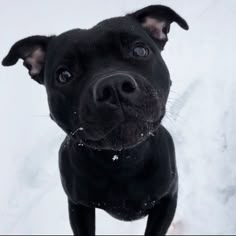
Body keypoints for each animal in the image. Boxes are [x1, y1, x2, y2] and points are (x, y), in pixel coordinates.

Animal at [2, 5, 188, 236]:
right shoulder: (78, 207)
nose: (114, 86)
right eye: (64, 75)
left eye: (139, 51)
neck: (122, 161)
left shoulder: (167, 198)